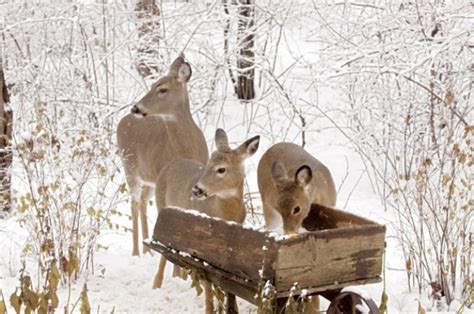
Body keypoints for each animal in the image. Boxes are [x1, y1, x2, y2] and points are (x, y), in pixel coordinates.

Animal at [116, 55, 207, 258]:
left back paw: (147, 250)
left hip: (150, 178)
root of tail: (122, 121)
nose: (135, 108)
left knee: (142, 202)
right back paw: (136, 252)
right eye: (152, 85)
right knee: (134, 203)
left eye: (162, 89)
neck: (185, 150)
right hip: (130, 167)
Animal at [155, 128, 260, 314]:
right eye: (207, 164)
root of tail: (168, 165)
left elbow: (226, 285)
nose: (196, 190)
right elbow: (208, 283)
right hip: (162, 210)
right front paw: (210, 309)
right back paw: (157, 285)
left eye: (221, 169)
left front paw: (230, 308)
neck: (225, 213)